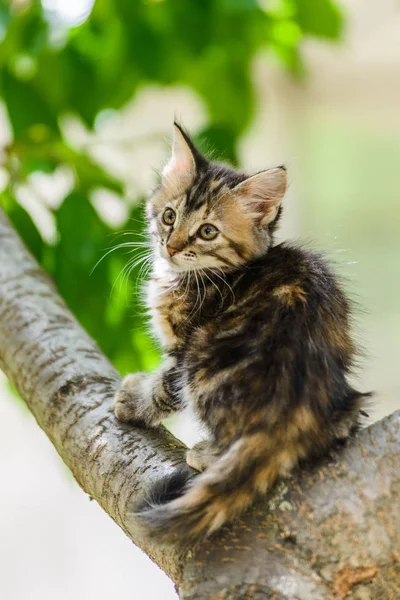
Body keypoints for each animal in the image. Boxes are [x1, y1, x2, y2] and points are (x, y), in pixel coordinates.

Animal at [113, 124, 368, 548]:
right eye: (169, 216)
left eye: (207, 232)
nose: (171, 246)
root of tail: (295, 407)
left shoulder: (183, 349)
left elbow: (164, 387)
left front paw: (134, 401)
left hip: (204, 359)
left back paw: (206, 454)